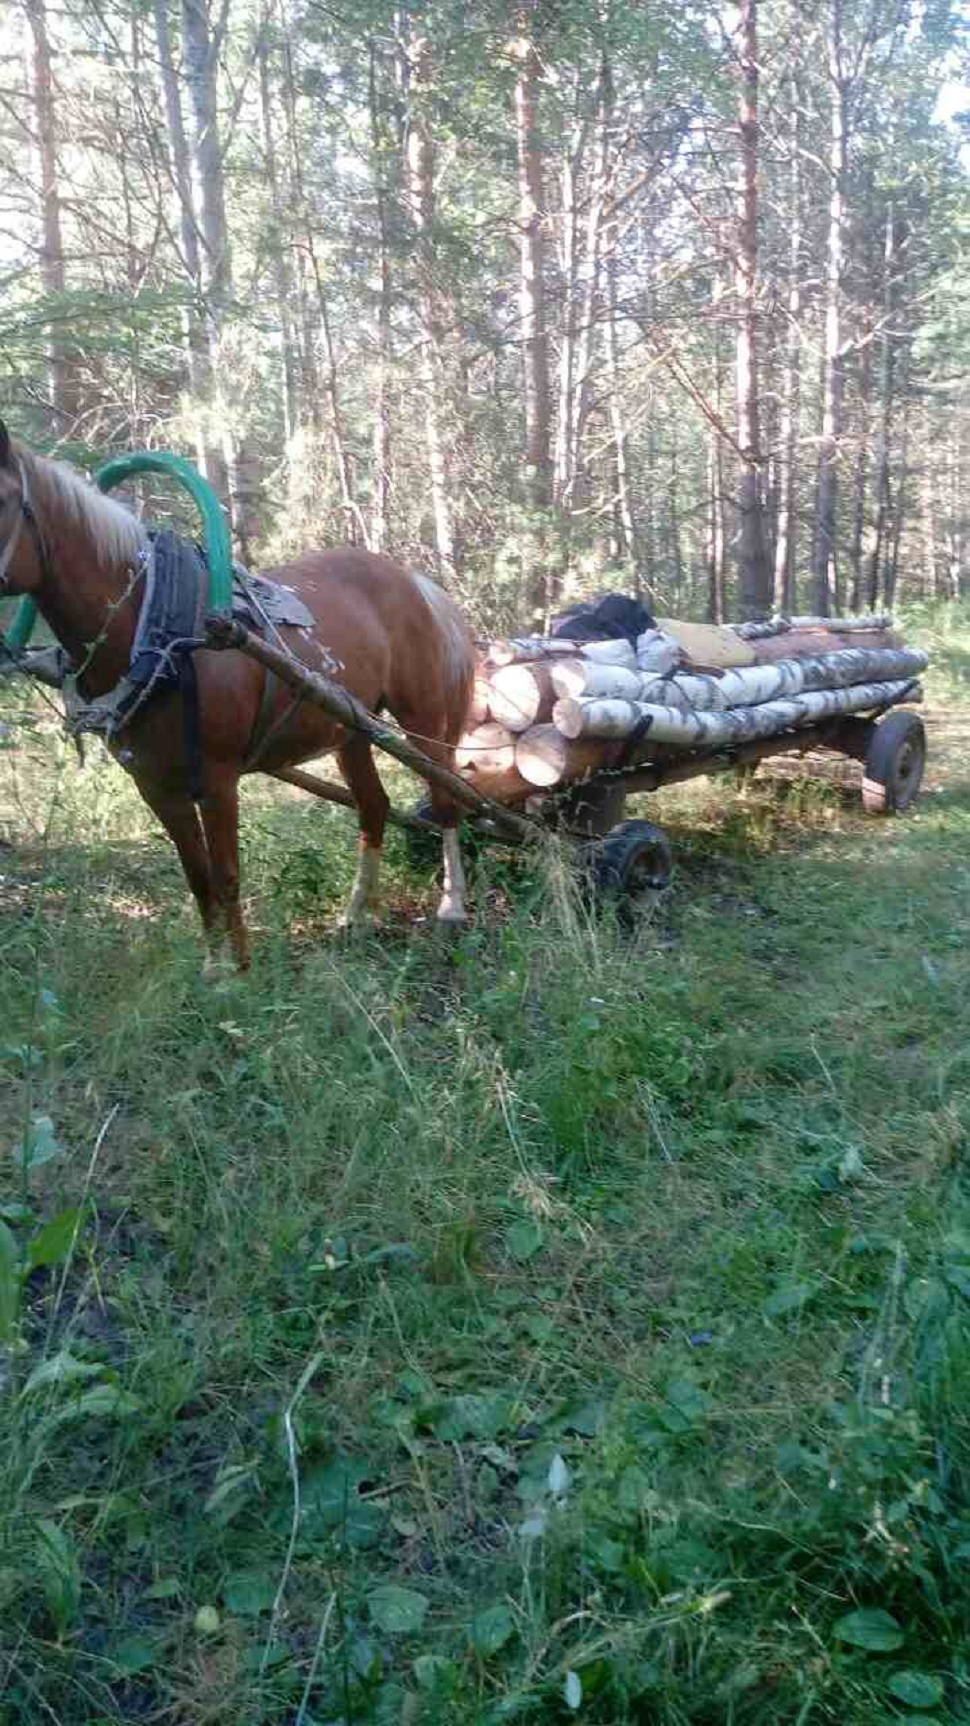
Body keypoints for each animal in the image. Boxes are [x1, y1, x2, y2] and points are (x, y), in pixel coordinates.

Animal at [0, 423, 475, 972]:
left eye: (2, 501)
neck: (154, 628)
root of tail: (412, 580)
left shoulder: (218, 778)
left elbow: (227, 874)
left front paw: (241, 972)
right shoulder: (155, 785)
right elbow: (197, 876)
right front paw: (212, 967)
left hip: (421, 716)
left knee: (445, 799)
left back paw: (451, 908)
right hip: (351, 728)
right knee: (373, 807)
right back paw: (355, 916)